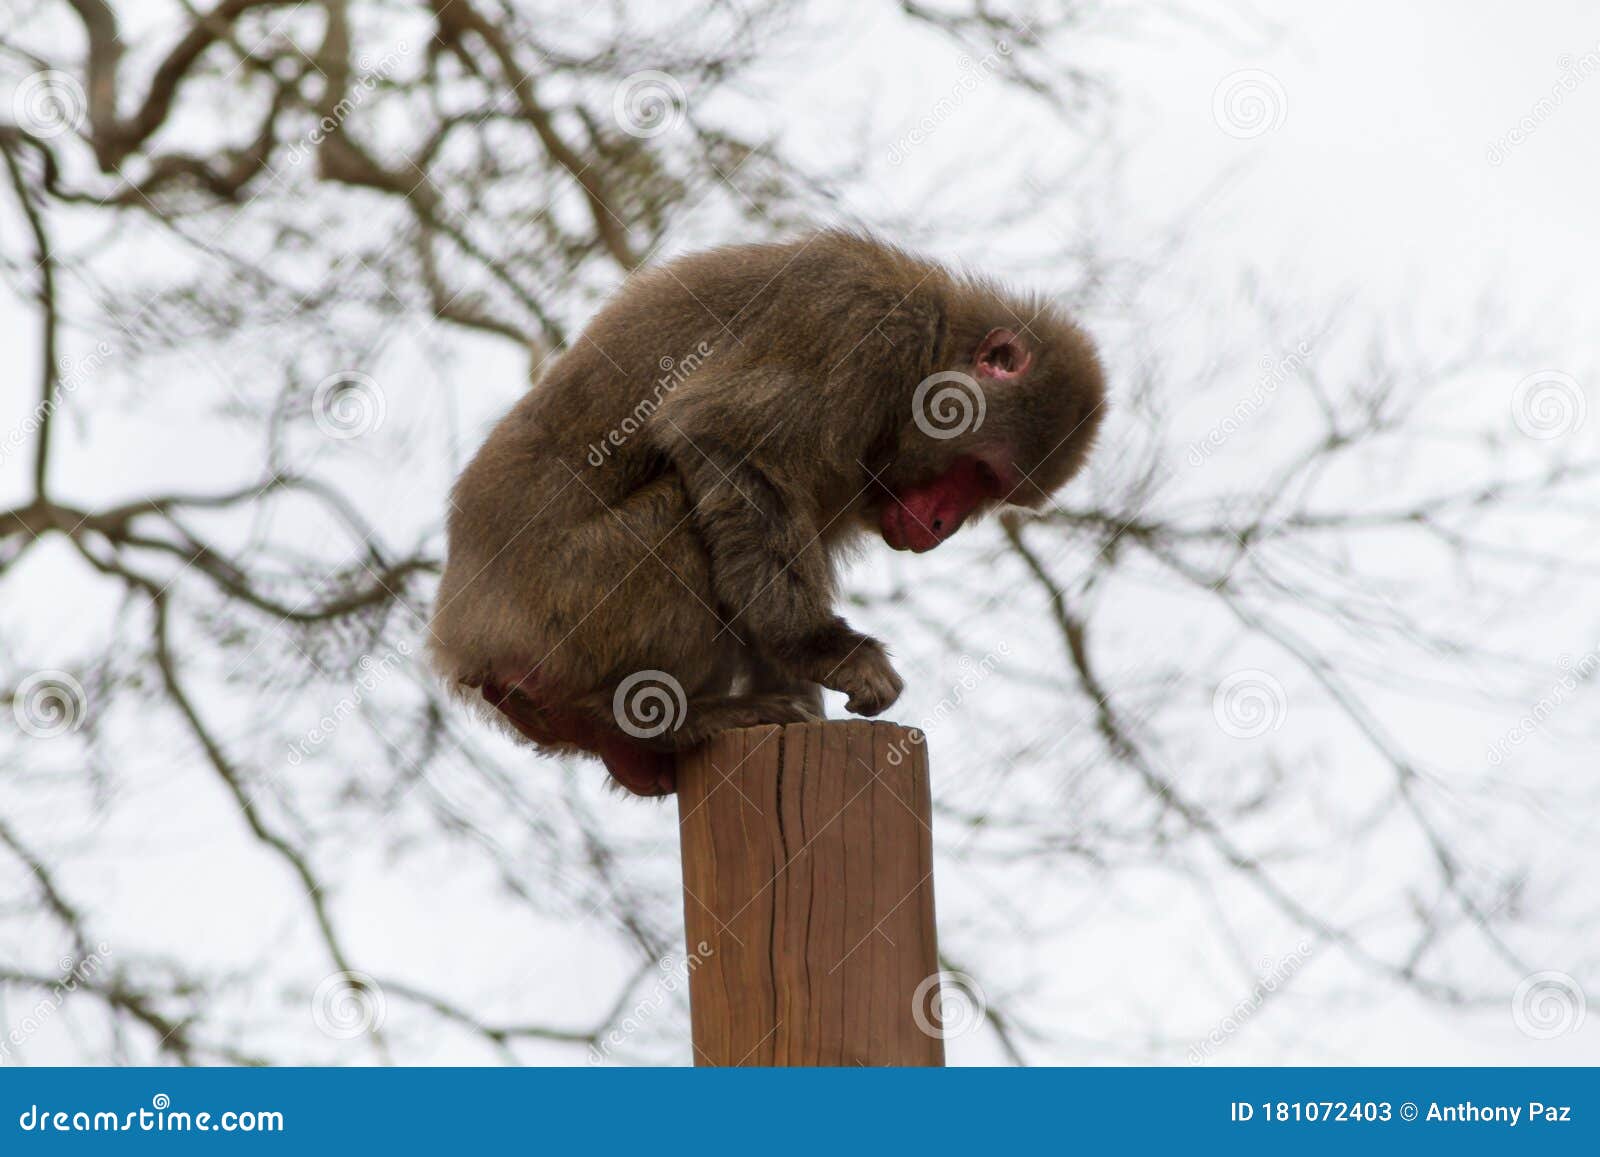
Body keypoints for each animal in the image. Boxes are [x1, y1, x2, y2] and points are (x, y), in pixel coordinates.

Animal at [432, 232, 1107, 800]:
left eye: (993, 491)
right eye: (981, 474)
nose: (939, 527)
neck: (930, 350)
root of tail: (463, 638)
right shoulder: (856, 325)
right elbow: (726, 442)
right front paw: (821, 649)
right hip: (567, 605)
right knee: (682, 514)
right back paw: (654, 721)